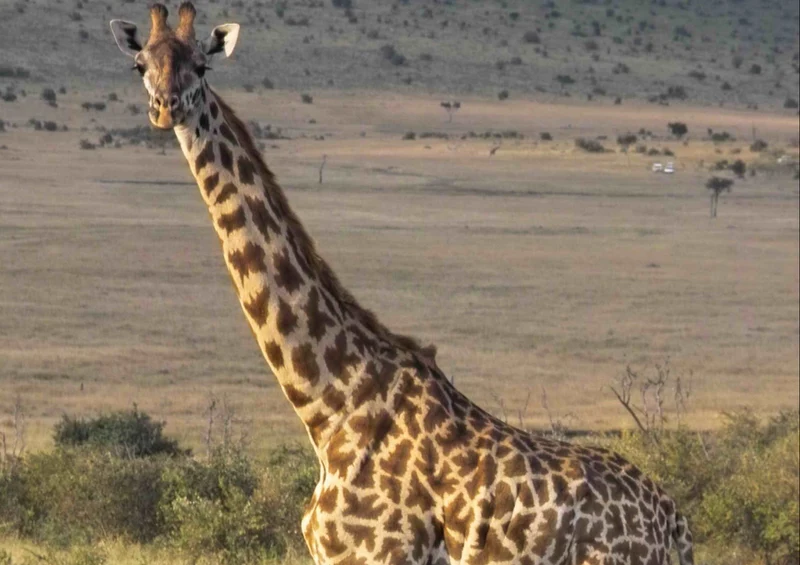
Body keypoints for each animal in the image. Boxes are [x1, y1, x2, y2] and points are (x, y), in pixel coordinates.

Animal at [109, 4, 695, 564]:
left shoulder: (376, 554)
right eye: (140, 64)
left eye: (201, 65)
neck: (330, 405)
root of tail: (673, 520)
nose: (166, 107)